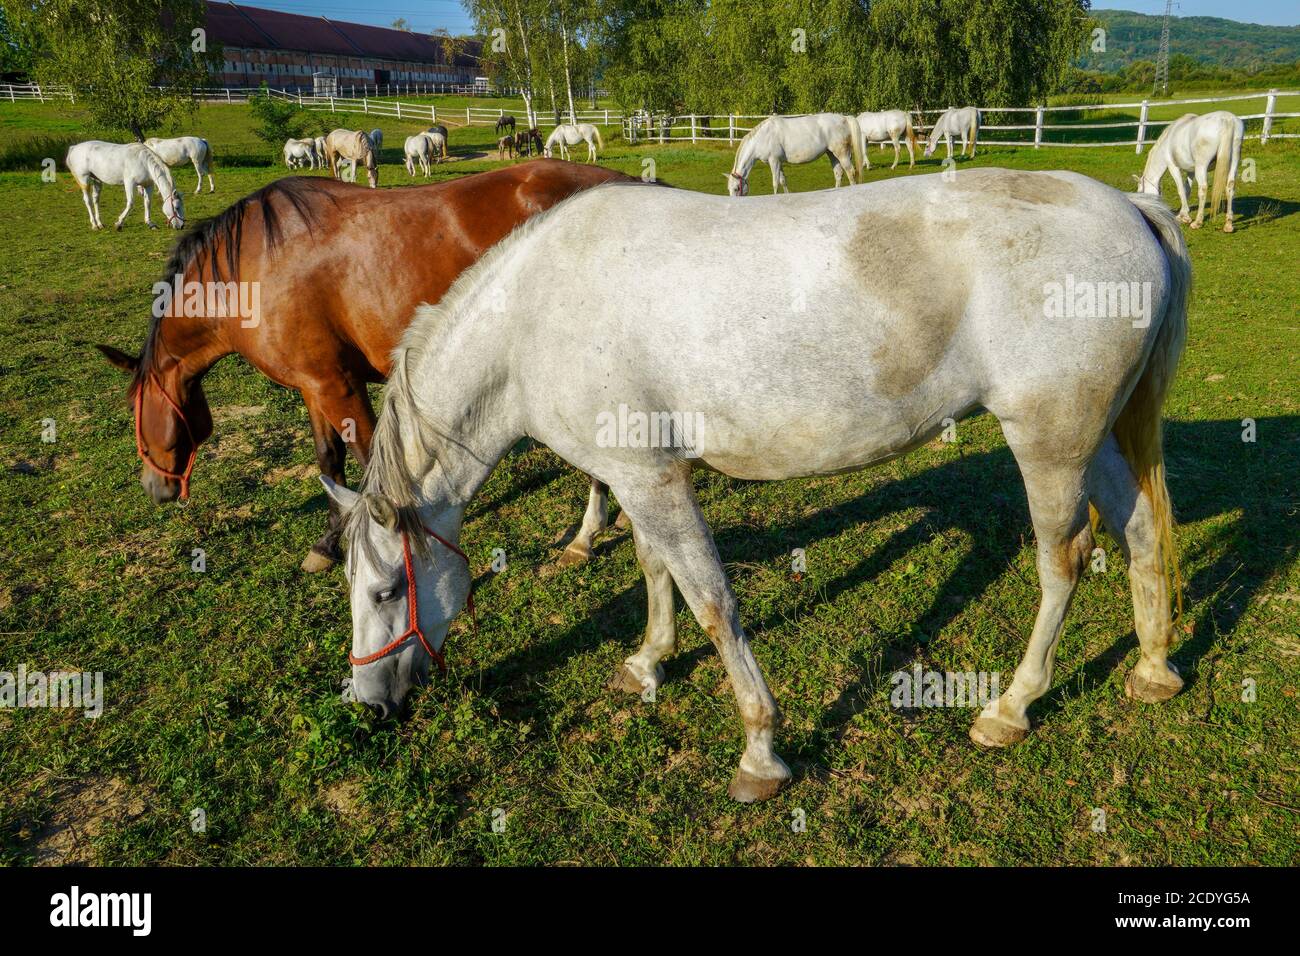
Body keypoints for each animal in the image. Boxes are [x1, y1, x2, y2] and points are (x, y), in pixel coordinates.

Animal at [95, 161, 642, 572]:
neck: (254, 266)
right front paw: (325, 546)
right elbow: (329, 461)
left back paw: (588, 533)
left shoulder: (336, 386)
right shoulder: (315, 386)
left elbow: (367, 461)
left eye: (135, 412)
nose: (153, 488)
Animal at [323, 169, 1189, 803]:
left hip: (1048, 442)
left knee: (1064, 560)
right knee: (1140, 530)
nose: (367, 705)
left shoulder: (654, 482)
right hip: (1094, 437)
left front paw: (760, 751)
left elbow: (713, 603)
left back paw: (1011, 707)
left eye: (384, 593)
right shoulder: (638, 475)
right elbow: (655, 571)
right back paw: (1153, 668)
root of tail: (1133, 208)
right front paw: (648, 661)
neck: (534, 318)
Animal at [726, 113, 863, 195]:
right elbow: (783, 181)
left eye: (736, 188)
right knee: (838, 173)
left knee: (850, 172)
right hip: (832, 154)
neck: (762, 137)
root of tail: (844, 118)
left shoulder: (774, 161)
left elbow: (775, 182)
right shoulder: (779, 163)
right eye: (729, 189)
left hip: (842, 154)